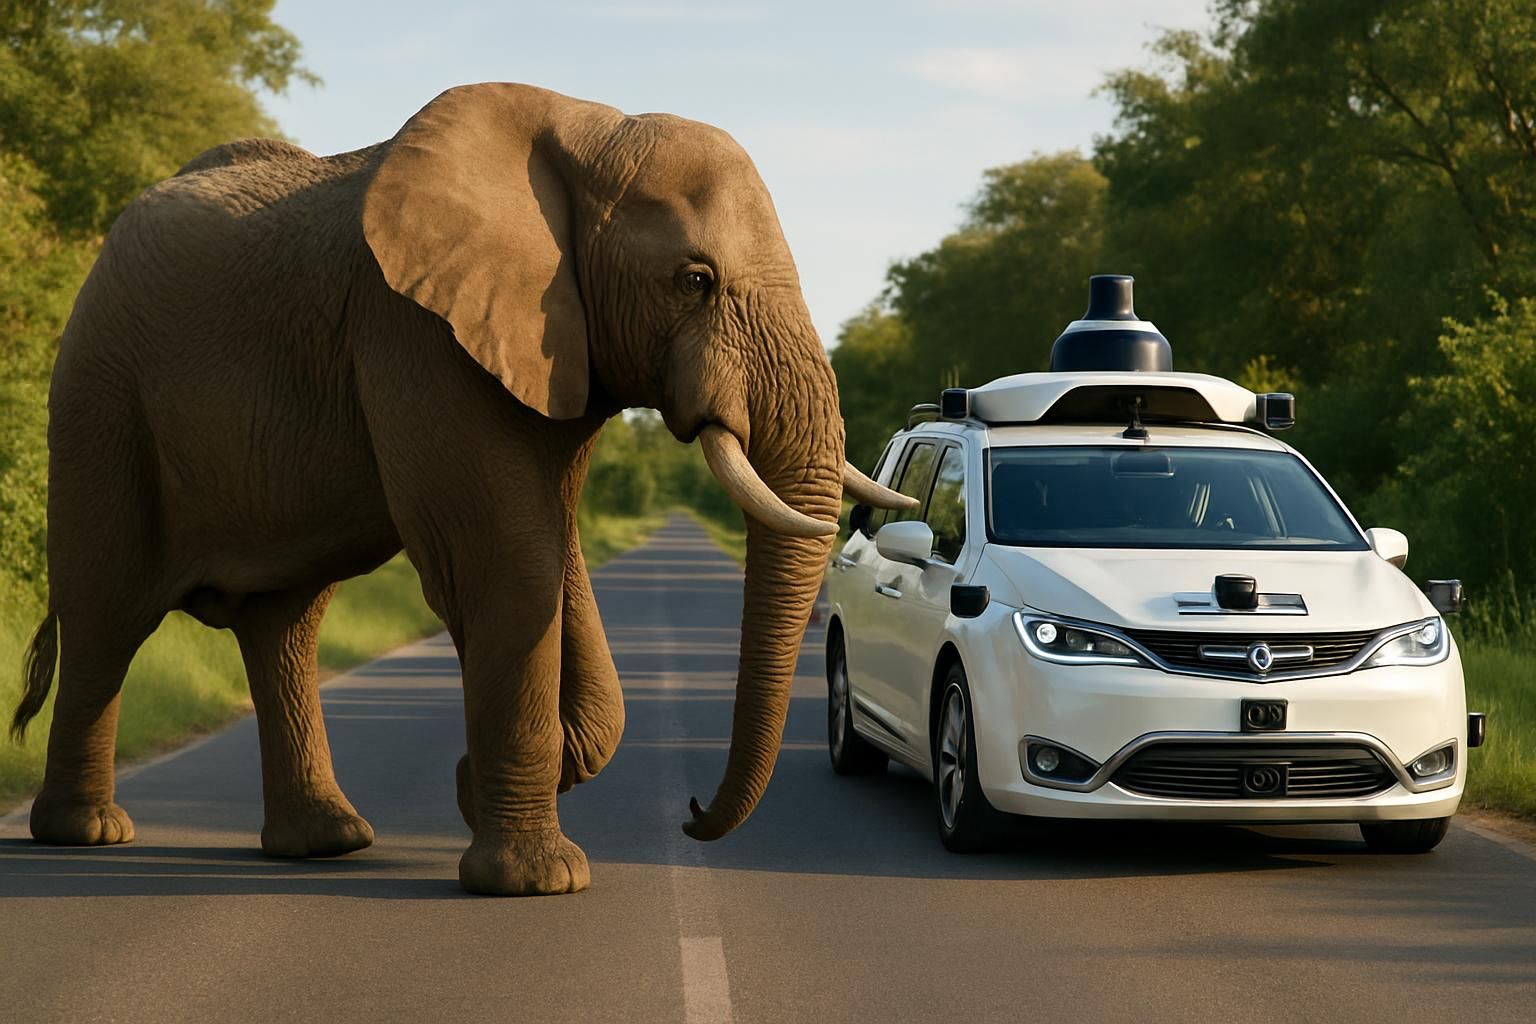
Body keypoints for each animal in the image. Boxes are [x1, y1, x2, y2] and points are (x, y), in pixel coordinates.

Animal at [7, 83, 912, 896]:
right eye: (695, 280)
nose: (690, 813)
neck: (586, 129)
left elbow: (552, 552)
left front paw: (486, 787)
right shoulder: (414, 329)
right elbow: (505, 557)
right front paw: (537, 879)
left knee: (283, 627)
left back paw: (327, 842)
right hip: (101, 401)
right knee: (107, 612)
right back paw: (87, 833)